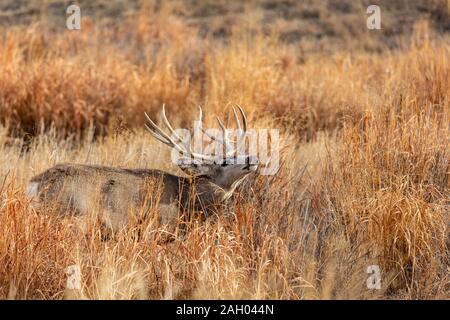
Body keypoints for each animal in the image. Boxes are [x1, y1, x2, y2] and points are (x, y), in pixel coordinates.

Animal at [26, 106, 258, 234]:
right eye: (224, 162)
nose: (252, 158)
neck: (187, 199)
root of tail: (34, 184)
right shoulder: (158, 225)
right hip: (71, 214)